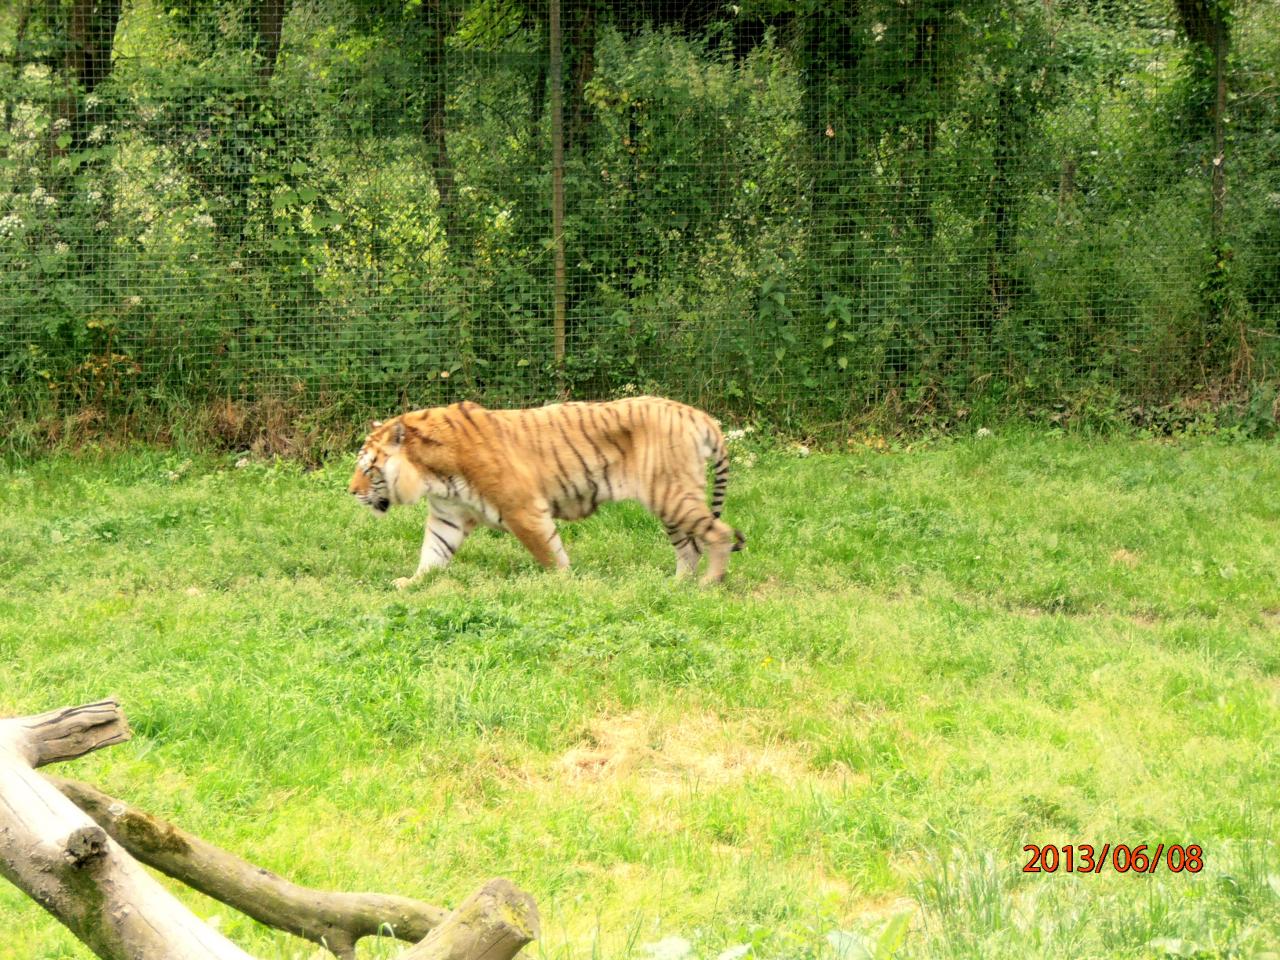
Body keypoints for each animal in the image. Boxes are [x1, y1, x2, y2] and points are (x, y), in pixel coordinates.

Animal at [350, 396, 747, 591]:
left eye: (368, 468)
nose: (350, 491)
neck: (430, 473)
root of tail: (700, 416)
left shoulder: (522, 509)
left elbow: (548, 553)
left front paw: (561, 584)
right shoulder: (448, 515)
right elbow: (433, 553)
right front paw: (411, 584)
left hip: (671, 495)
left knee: (719, 534)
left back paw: (710, 583)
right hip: (668, 503)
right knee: (689, 548)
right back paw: (676, 586)